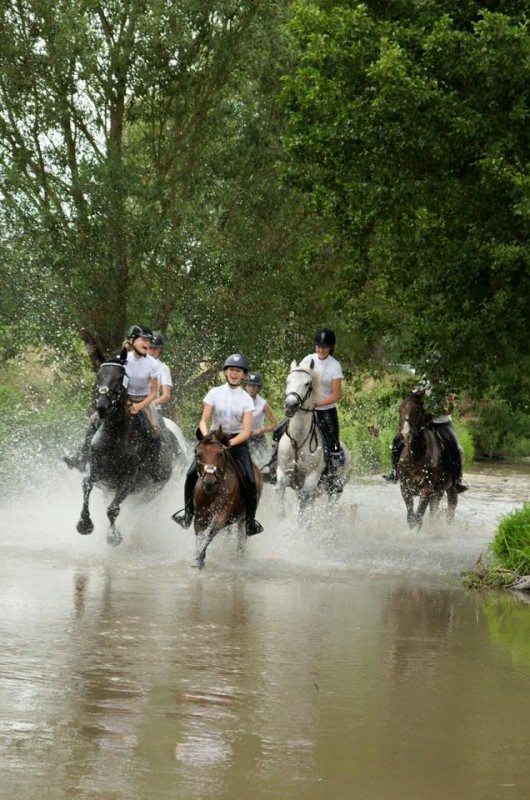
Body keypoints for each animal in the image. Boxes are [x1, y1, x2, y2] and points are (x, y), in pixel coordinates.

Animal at [75, 360, 174, 544]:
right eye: (99, 376)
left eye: (118, 379)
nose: (102, 406)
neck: (114, 435)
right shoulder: (98, 473)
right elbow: (86, 485)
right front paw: (84, 524)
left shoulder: (128, 480)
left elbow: (113, 509)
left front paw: (114, 537)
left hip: (153, 489)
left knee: (137, 508)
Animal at [191, 428, 262, 572]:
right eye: (198, 454)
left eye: (220, 454)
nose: (210, 482)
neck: (213, 491)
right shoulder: (200, 514)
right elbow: (199, 533)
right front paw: (196, 559)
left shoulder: (222, 514)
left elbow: (211, 533)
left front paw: (200, 559)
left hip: (243, 520)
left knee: (241, 539)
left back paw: (239, 559)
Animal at [276, 358, 350, 520]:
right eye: (287, 381)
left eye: (307, 383)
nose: (290, 405)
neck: (298, 441)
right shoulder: (283, 473)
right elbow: (280, 495)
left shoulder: (312, 478)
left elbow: (304, 505)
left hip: (335, 490)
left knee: (329, 508)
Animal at [396, 390, 454, 528]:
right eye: (401, 409)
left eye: (417, 410)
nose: (405, 434)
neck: (416, 455)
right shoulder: (405, 488)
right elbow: (411, 517)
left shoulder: (426, 490)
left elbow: (418, 517)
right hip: (437, 493)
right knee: (434, 512)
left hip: (450, 489)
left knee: (451, 511)